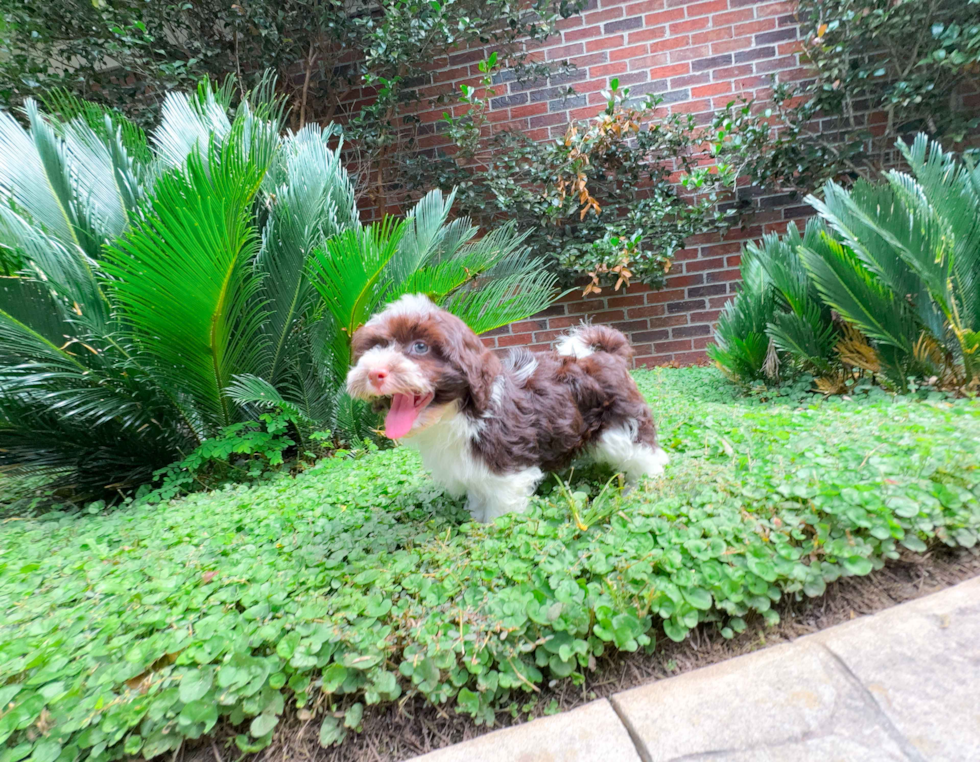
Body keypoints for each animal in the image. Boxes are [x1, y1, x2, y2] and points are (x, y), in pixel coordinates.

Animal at [344, 294, 668, 520]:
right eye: (373, 347)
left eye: (420, 347)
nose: (373, 373)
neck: (457, 413)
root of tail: (607, 354)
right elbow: (479, 492)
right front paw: (476, 517)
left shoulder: (508, 462)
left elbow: (503, 505)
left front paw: (493, 526)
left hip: (620, 425)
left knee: (645, 453)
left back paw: (645, 484)